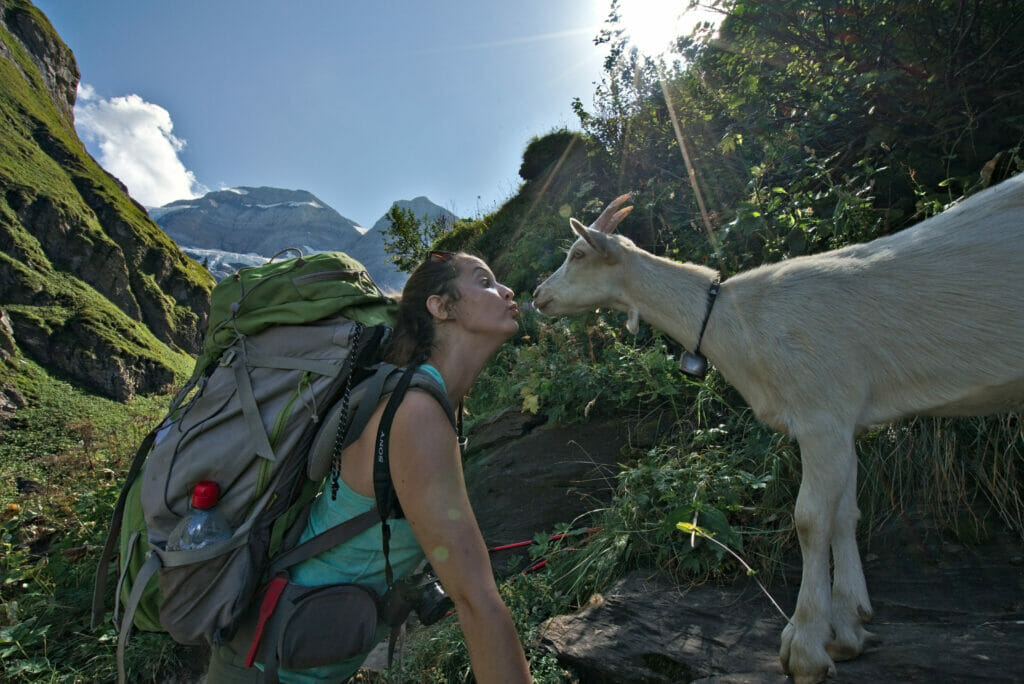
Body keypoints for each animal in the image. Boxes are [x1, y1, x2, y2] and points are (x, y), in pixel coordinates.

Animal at [532, 178, 1024, 684]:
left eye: (577, 253)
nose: (536, 294)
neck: (739, 323)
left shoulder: (820, 412)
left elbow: (809, 519)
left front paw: (804, 647)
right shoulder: (843, 421)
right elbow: (845, 514)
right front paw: (849, 628)